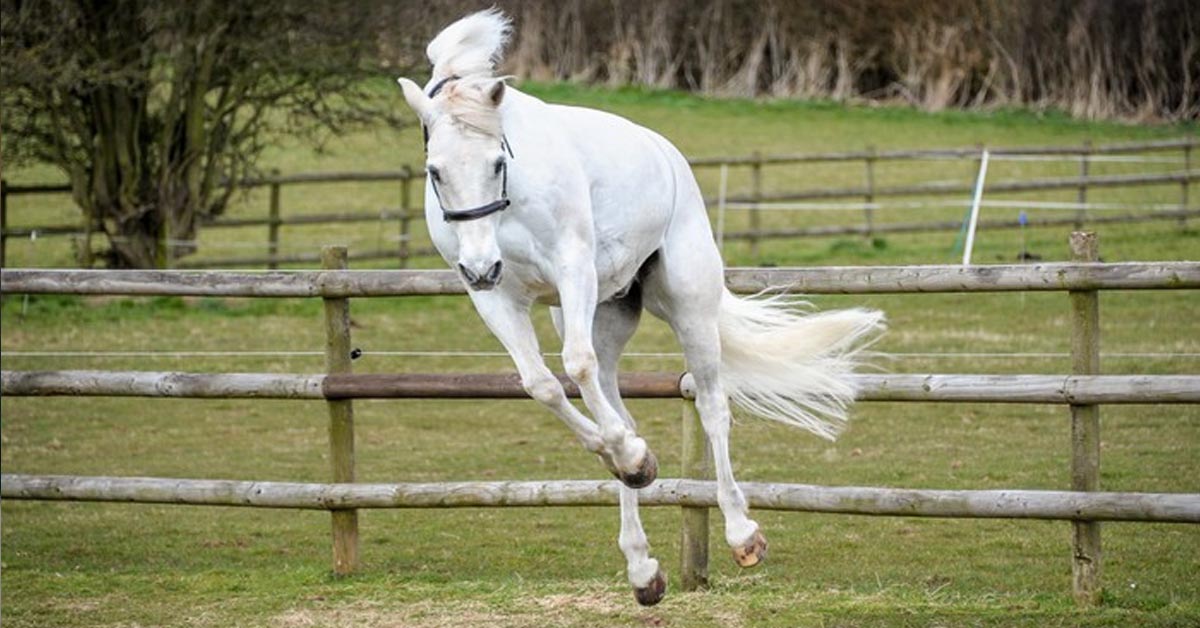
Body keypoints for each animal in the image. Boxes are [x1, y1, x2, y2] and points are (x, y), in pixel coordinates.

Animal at [398, 11, 888, 609]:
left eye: (496, 162)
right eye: (435, 171)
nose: (480, 265)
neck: (510, 204)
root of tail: (664, 150)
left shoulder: (572, 269)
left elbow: (575, 366)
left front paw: (631, 457)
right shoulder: (494, 298)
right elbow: (542, 384)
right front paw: (631, 460)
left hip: (688, 305)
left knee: (713, 407)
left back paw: (742, 535)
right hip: (604, 314)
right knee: (617, 405)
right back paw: (642, 564)